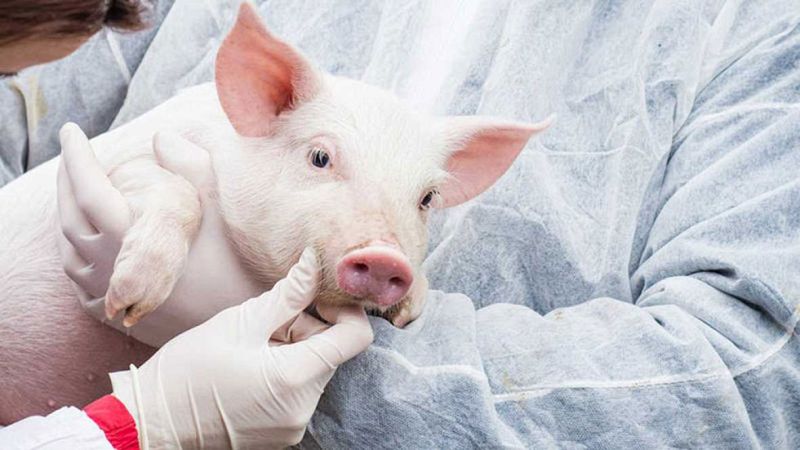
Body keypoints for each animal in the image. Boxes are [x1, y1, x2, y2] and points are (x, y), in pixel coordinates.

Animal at [0, 3, 549, 424]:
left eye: (427, 198)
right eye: (320, 157)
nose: (385, 257)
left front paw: (411, 309)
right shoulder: (105, 171)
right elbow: (177, 192)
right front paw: (129, 302)